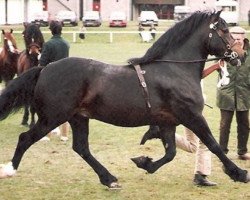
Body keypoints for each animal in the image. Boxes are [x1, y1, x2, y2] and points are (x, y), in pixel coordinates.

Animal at [0, 11, 248, 189]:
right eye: (224, 30)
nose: (241, 55)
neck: (174, 70)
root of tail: (44, 68)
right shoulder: (192, 116)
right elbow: (213, 145)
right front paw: (239, 173)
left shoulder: (168, 122)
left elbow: (170, 153)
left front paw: (145, 162)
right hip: (52, 118)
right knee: (25, 138)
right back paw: (10, 169)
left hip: (78, 117)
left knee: (81, 148)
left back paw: (109, 179)